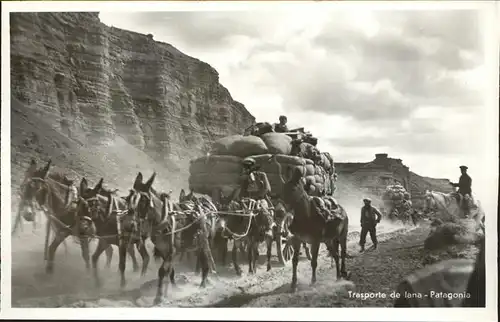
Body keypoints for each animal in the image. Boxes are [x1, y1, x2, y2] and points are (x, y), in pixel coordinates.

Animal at [126, 171, 214, 304]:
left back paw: (203, 284)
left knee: (206, 261)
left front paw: (159, 297)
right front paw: (174, 288)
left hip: (204, 242)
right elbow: (170, 271)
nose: (131, 225)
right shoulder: (164, 251)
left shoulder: (172, 251)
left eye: (143, 200)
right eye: (128, 198)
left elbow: (162, 271)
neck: (164, 220)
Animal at [272, 155, 350, 290]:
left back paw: (343, 272)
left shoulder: (315, 241)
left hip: (342, 236)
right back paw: (338, 276)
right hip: (329, 240)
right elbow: (295, 261)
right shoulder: (297, 240)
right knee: (335, 255)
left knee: (343, 253)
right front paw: (293, 284)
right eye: (283, 189)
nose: (279, 211)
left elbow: (314, 261)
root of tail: (342, 209)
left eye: (294, 189)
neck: (306, 217)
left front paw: (313, 281)